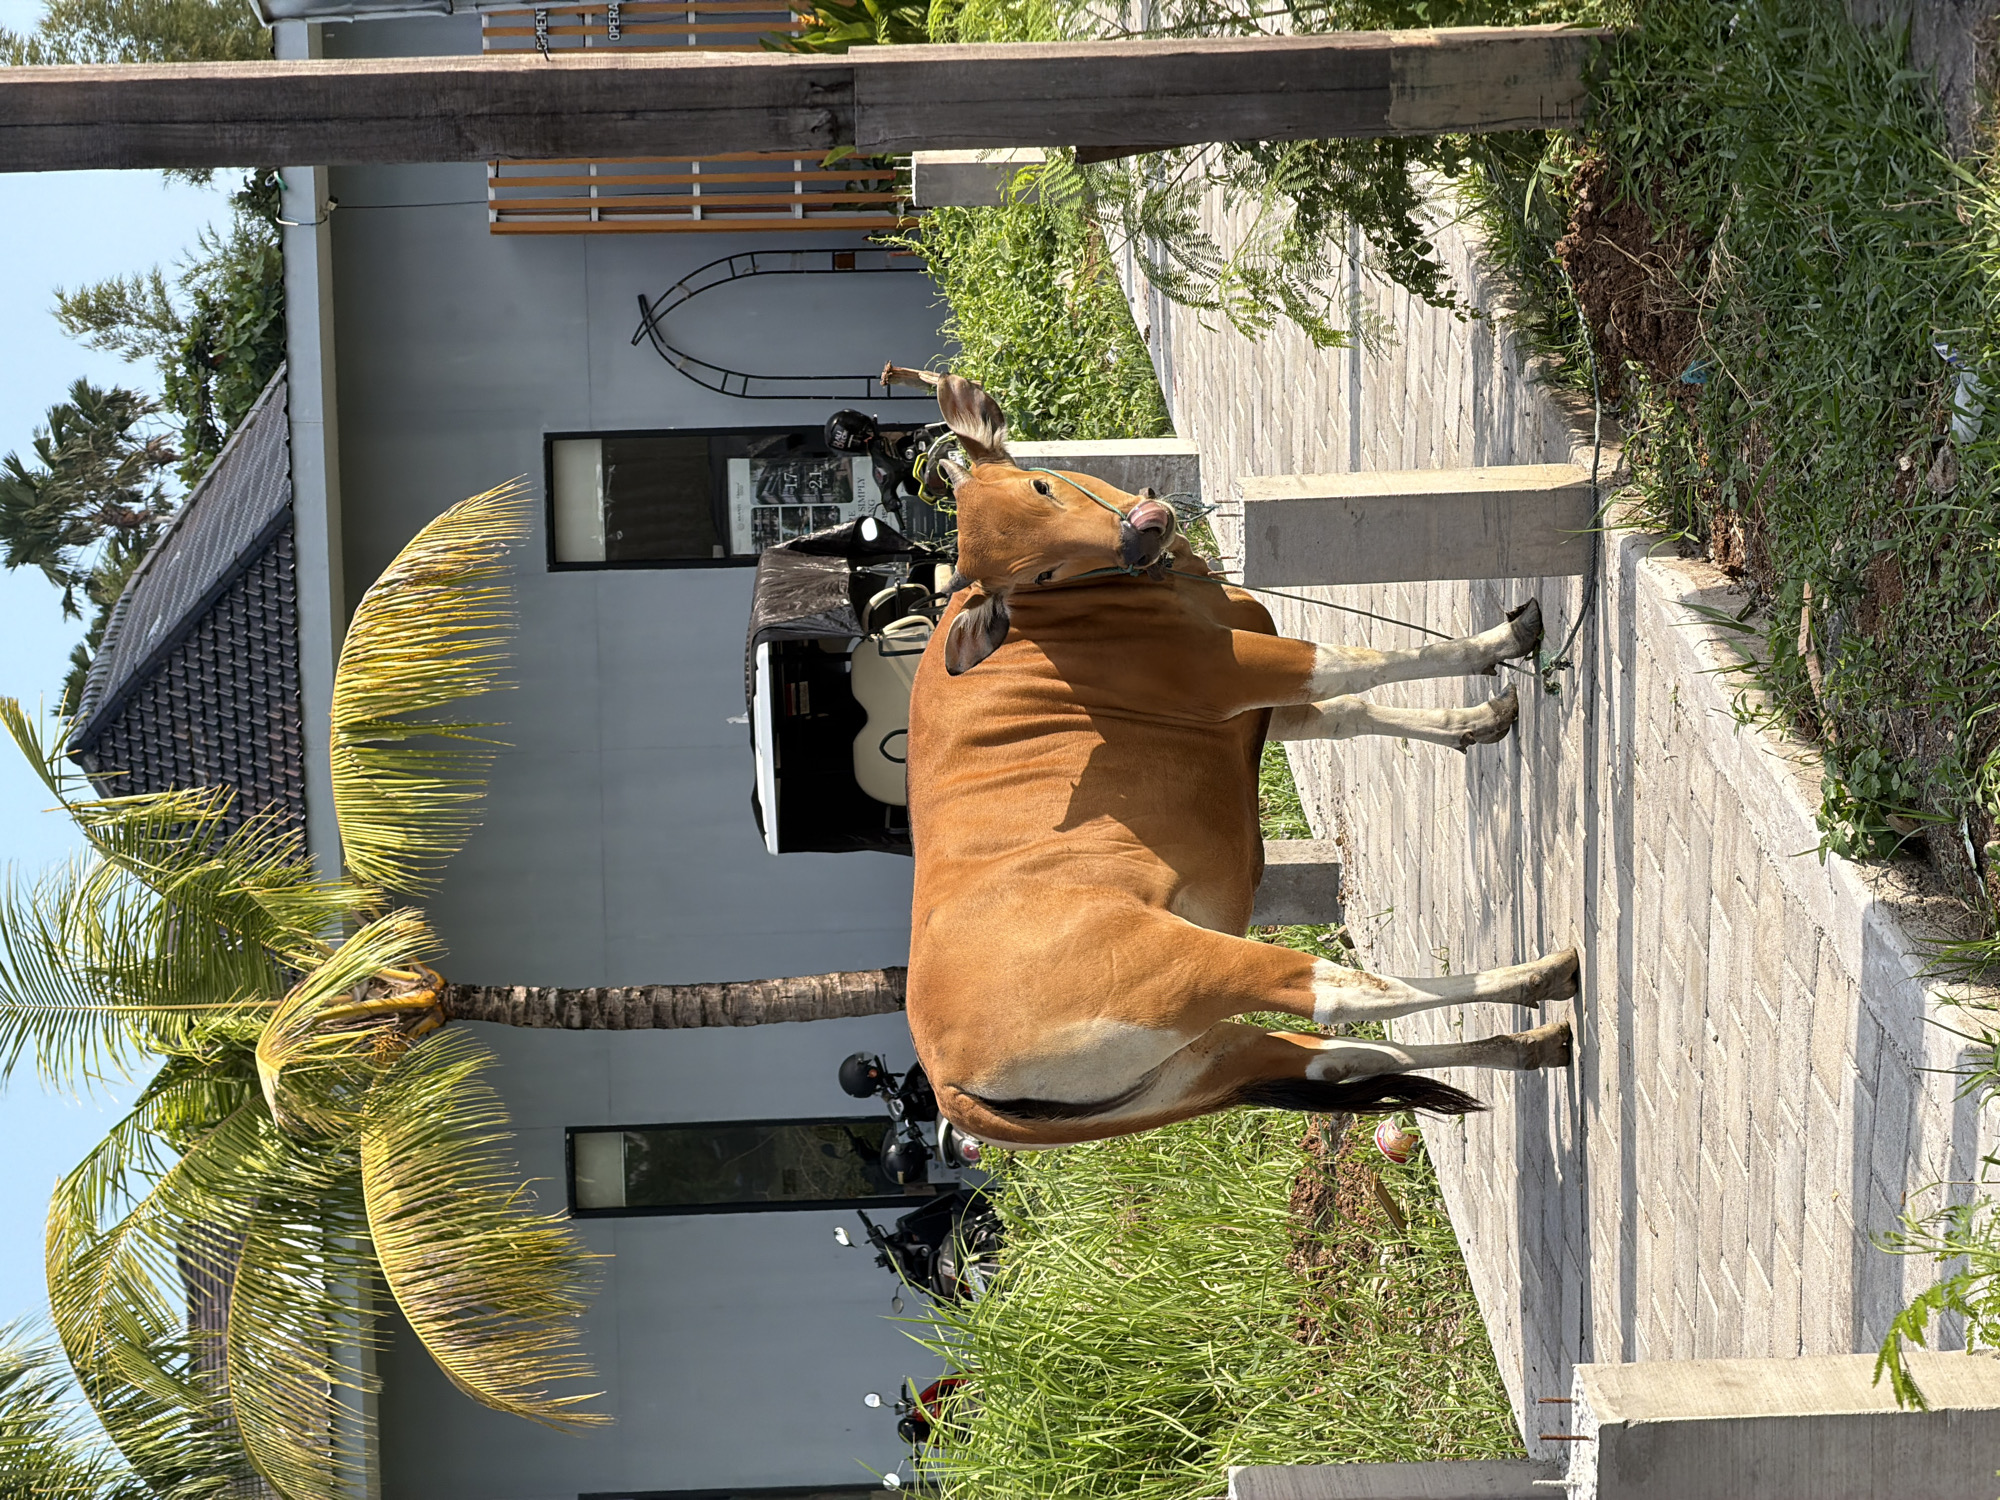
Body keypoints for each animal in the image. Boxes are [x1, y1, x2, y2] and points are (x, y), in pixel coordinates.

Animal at [899, 370, 1578, 1150]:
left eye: (1039, 485)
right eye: (1038, 573)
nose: (1143, 530)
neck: (1066, 621)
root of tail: (950, 1087)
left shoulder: (1249, 710)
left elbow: (1349, 715)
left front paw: (1478, 720)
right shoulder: (1240, 672)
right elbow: (1360, 663)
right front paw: (1504, 639)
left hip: (1202, 1062)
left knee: (1340, 1059)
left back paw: (1530, 1042)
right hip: (1198, 969)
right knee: (1348, 996)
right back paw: (1541, 975)